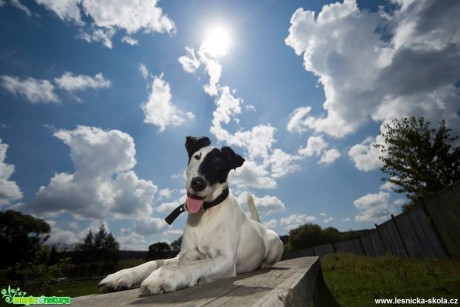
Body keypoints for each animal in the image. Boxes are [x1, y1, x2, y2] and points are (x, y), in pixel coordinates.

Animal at [99, 137, 282, 296]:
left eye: (218, 164)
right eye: (197, 156)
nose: (198, 183)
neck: (206, 214)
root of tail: (260, 225)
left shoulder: (226, 259)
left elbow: (198, 264)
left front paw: (165, 275)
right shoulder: (184, 256)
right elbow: (154, 262)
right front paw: (122, 275)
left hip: (275, 245)